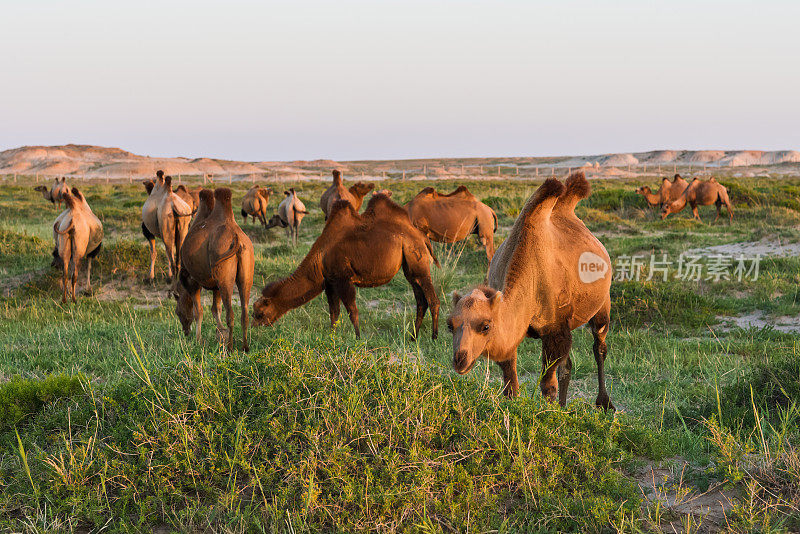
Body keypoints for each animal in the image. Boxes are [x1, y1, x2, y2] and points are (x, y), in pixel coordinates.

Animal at [177, 188, 255, 352]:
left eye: (177, 312)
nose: (185, 331)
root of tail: (237, 239)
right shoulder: (215, 285)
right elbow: (215, 308)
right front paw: (220, 334)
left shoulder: (191, 280)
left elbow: (199, 311)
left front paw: (199, 340)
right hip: (245, 272)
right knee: (244, 311)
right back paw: (244, 346)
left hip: (224, 276)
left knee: (230, 313)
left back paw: (230, 347)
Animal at [253, 195, 440, 342]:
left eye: (260, 313)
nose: (255, 328)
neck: (319, 257)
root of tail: (422, 237)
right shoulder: (330, 282)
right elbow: (334, 312)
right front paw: (332, 336)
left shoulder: (343, 279)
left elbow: (352, 310)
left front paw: (357, 338)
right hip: (409, 267)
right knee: (421, 301)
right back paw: (413, 337)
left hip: (417, 258)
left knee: (432, 299)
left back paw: (434, 337)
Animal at [446, 172, 616, 410]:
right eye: (449, 325)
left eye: (485, 326)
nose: (460, 359)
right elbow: (511, 384)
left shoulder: (554, 330)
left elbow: (548, 385)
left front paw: (550, 414)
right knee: (568, 365)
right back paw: (565, 406)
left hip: (602, 304)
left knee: (599, 346)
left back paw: (603, 403)